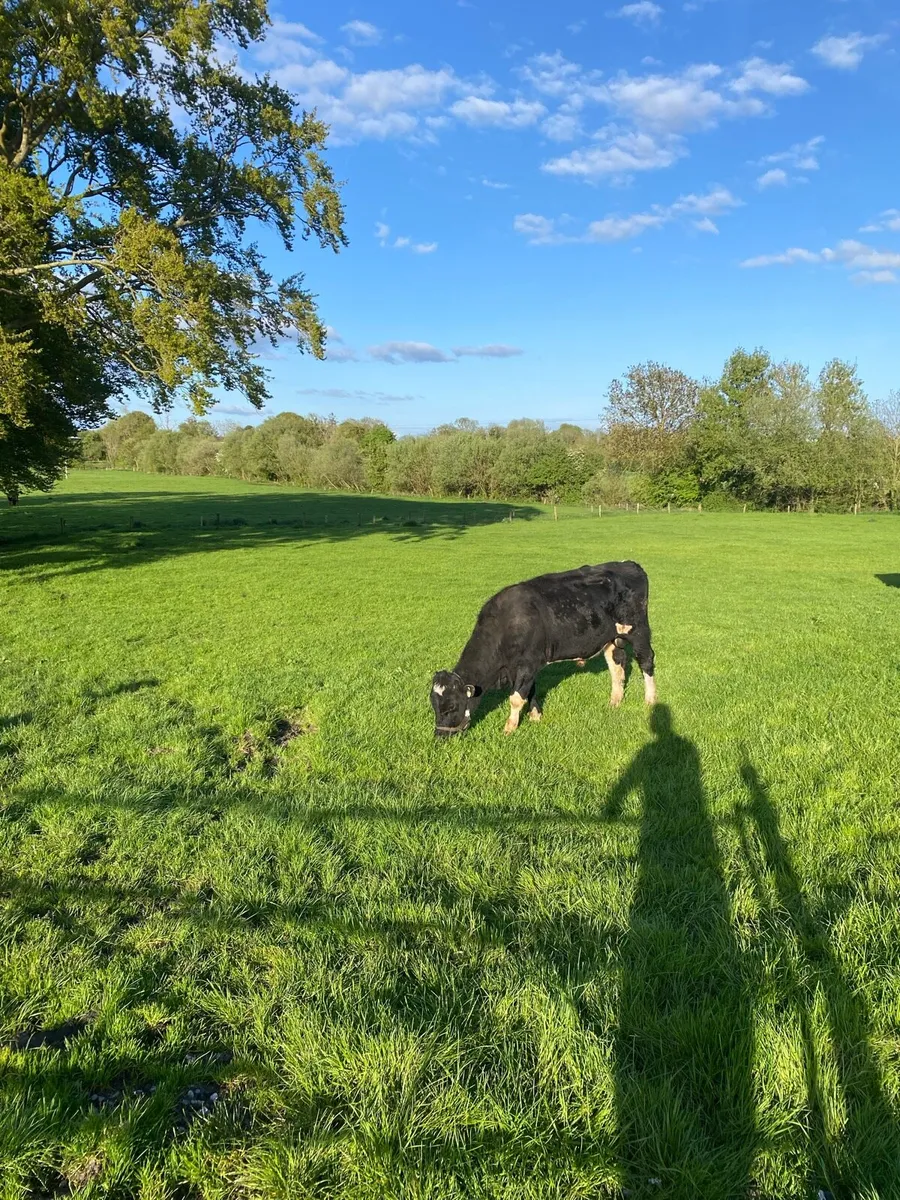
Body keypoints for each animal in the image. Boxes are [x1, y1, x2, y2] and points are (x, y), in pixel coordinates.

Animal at [431, 560, 656, 737]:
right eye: (433, 705)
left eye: (451, 706)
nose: (440, 736)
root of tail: (629, 564)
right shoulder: (520, 668)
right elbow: (528, 691)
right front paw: (535, 716)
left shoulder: (528, 663)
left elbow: (516, 698)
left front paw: (509, 728)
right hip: (612, 638)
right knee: (617, 664)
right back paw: (615, 701)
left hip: (638, 631)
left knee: (646, 660)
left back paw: (651, 700)